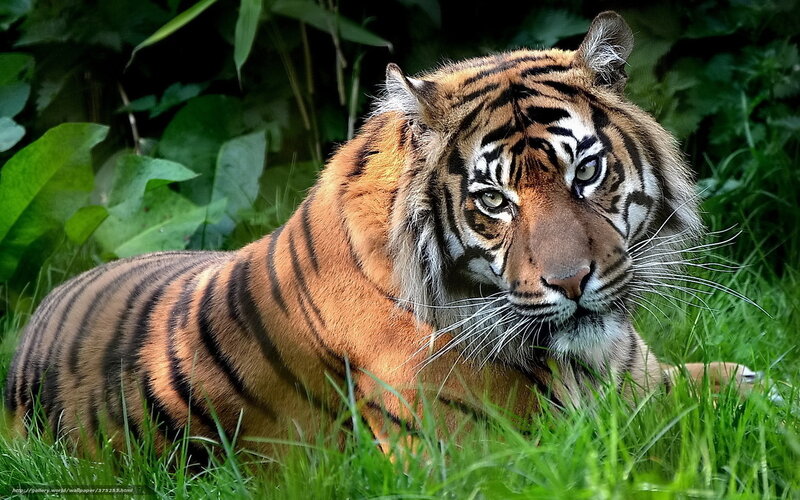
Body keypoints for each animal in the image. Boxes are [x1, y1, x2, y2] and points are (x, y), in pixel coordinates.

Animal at [3, 11, 764, 461]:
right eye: (494, 201)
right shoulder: (489, 453)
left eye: (586, 171)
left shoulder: (646, 381)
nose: (572, 282)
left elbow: (740, 382)